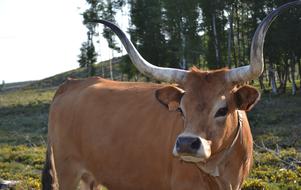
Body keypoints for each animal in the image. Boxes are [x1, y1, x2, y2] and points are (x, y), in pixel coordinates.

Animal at [41, 1, 298, 190]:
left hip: (90, 175)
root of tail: (72, 83)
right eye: (181, 110)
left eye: (223, 109)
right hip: (68, 170)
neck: (219, 171)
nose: (186, 143)